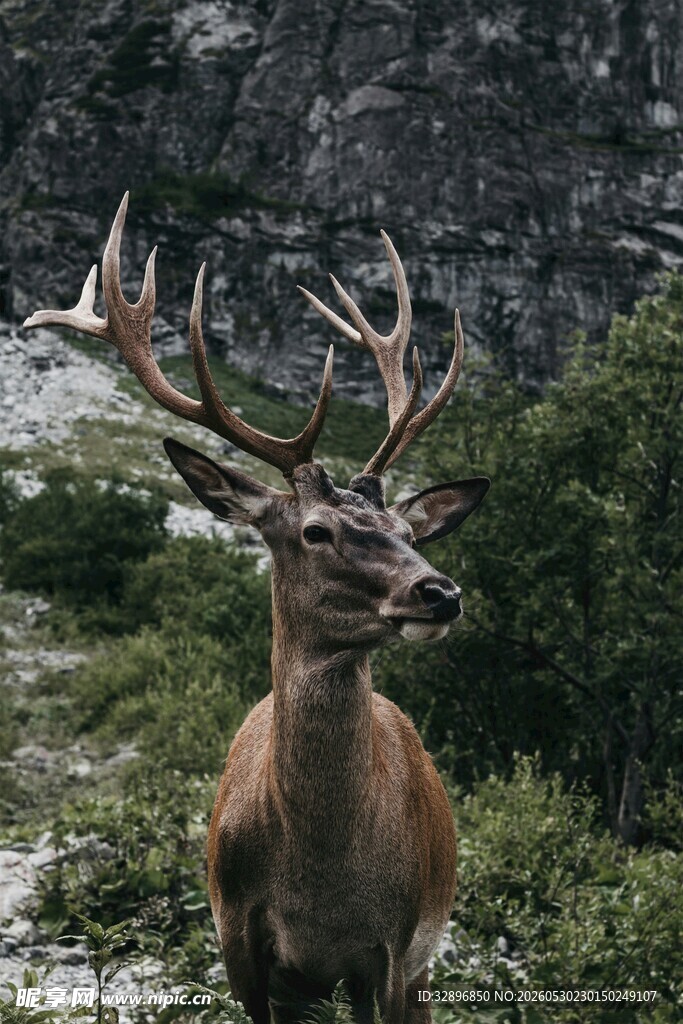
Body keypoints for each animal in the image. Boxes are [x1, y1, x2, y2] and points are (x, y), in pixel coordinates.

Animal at [24, 194, 490, 1024]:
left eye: (407, 533)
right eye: (315, 530)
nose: (439, 592)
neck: (320, 886)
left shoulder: (392, 948)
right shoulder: (237, 937)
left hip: (423, 961)